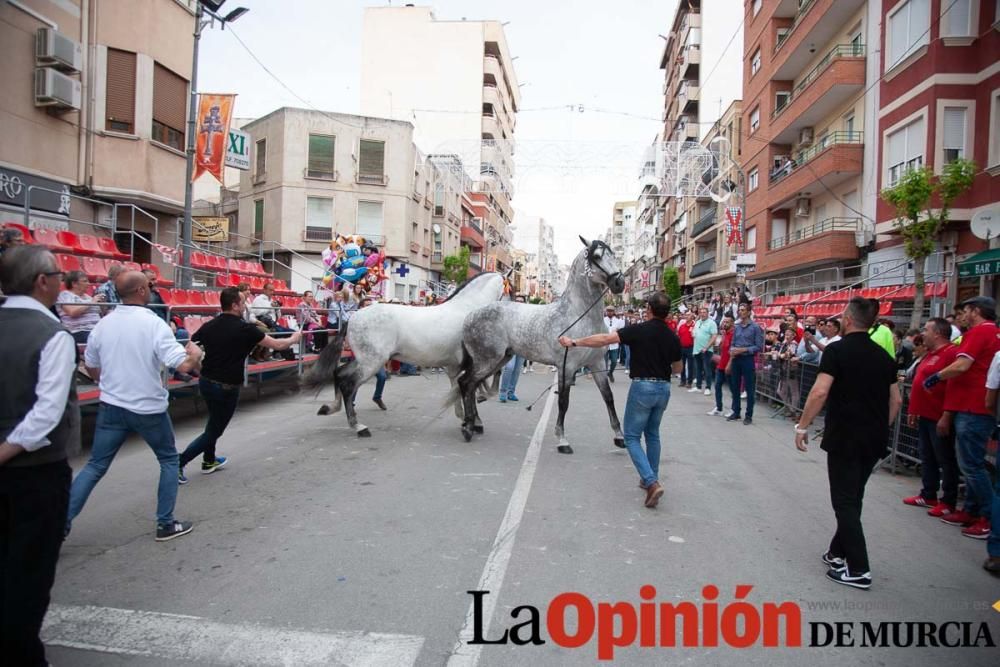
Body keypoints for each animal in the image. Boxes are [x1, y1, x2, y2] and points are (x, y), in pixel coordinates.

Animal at [302, 272, 508, 438]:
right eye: (508, 290)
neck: (469, 311)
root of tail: (353, 317)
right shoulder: (473, 363)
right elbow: (471, 388)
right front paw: (473, 422)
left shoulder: (457, 366)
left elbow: (461, 388)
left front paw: (465, 418)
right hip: (372, 362)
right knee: (348, 383)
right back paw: (359, 427)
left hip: (364, 360)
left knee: (339, 374)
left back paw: (330, 408)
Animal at [454, 236, 624, 454]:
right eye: (596, 256)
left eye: (613, 254)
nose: (620, 282)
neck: (578, 316)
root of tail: (470, 316)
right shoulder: (567, 367)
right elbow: (563, 402)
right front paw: (562, 441)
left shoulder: (597, 364)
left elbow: (608, 397)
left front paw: (619, 437)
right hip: (487, 360)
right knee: (466, 383)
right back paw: (467, 427)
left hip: (499, 359)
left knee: (472, 385)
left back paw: (476, 424)